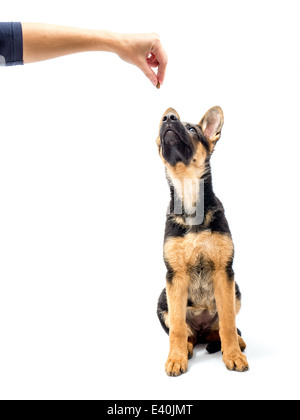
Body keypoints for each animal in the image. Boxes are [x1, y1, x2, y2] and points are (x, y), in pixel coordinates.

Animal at [157, 106, 248, 376]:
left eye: (192, 129)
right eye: (164, 122)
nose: (168, 118)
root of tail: (201, 330)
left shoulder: (223, 272)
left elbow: (228, 322)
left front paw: (233, 355)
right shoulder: (175, 277)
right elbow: (177, 328)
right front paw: (176, 358)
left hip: (235, 290)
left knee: (222, 328)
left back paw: (236, 342)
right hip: (162, 299)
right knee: (186, 333)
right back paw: (186, 347)